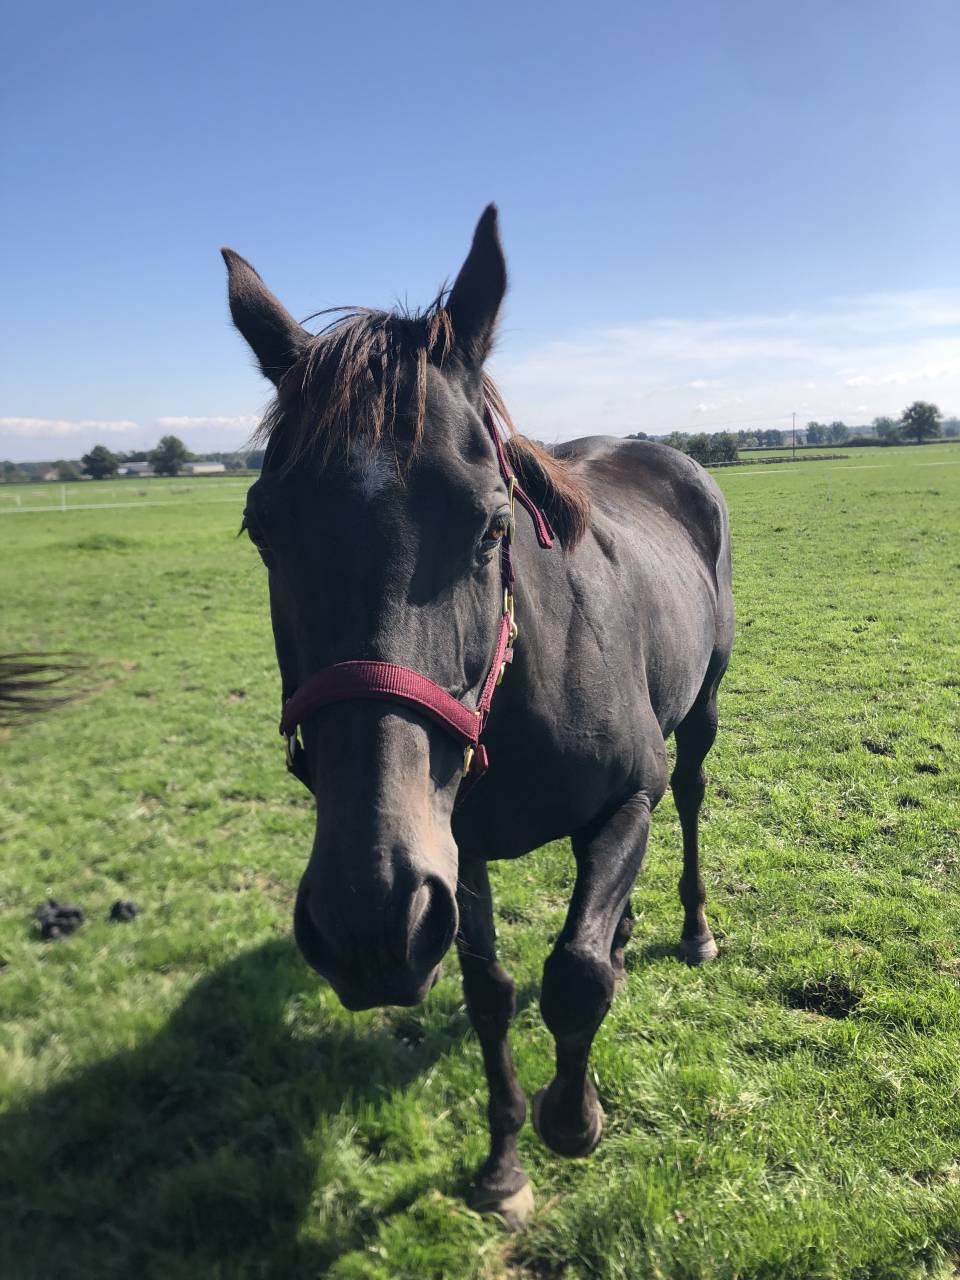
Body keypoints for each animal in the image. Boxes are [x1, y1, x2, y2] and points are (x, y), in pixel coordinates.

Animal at [222, 205, 734, 1229]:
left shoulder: (628, 797)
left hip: (700, 711)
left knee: (692, 798)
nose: (364, 918)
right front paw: (503, 1165)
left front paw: (574, 1117)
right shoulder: (453, 854)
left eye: (493, 525)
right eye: (263, 529)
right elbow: (490, 990)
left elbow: (573, 977)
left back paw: (690, 929)